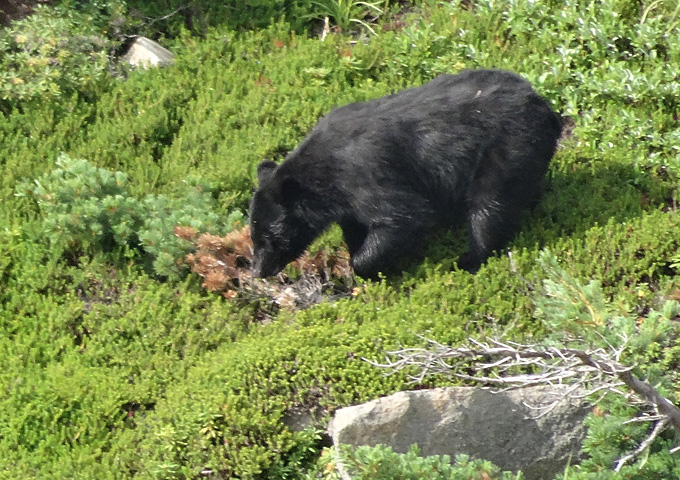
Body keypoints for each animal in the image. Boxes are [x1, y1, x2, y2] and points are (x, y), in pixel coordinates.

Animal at [247, 67, 560, 278]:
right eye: (254, 234)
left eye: (270, 237)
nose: (258, 272)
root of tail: (543, 104)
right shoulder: (346, 202)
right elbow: (357, 224)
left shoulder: (364, 173)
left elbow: (405, 216)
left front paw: (367, 266)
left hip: (507, 146)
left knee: (489, 205)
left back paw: (470, 258)